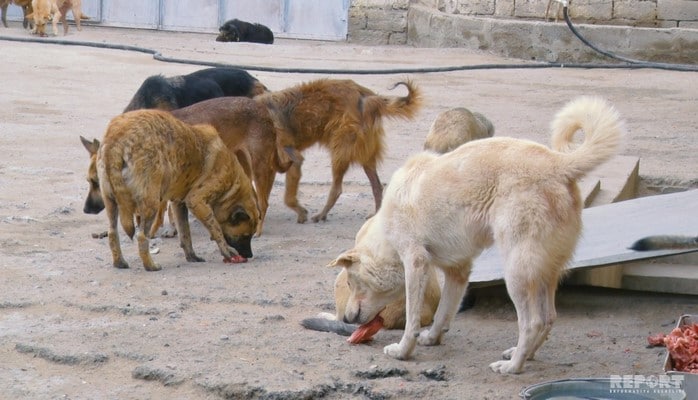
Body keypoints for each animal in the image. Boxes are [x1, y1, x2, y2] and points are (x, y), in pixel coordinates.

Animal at [81, 109, 260, 272]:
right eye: (245, 236)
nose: (249, 256)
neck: (232, 182)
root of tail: (116, 138)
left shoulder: (179, 203)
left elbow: (185, 233)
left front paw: (192, 256)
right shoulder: (196, 201)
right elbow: (216, 229)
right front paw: (226, 251)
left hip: (111, 202)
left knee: (112, 233)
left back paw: (120, 262)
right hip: (151, 203)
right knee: (142, 237)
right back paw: (150, 266)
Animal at [254, 76, 418, 223]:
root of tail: (368, 98)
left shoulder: (292, 159)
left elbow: (288, 198)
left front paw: (301, 214)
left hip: (341, 151)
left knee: (337, 189)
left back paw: (322, 214)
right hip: (365, 153)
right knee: (377, 186)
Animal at [328, 95, 624, 374]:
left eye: (351, 282)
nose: (346, 321)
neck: (386, 231)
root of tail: (559, 163)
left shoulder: (415, 263)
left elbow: (412, 318)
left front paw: (403, 350)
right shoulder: (457, 271)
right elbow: (444, 312)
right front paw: (432, 338)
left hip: (516, 273)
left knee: (532, 322)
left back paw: (513, 366)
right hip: (544, 272)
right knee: (549, 317)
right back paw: (525, 354)